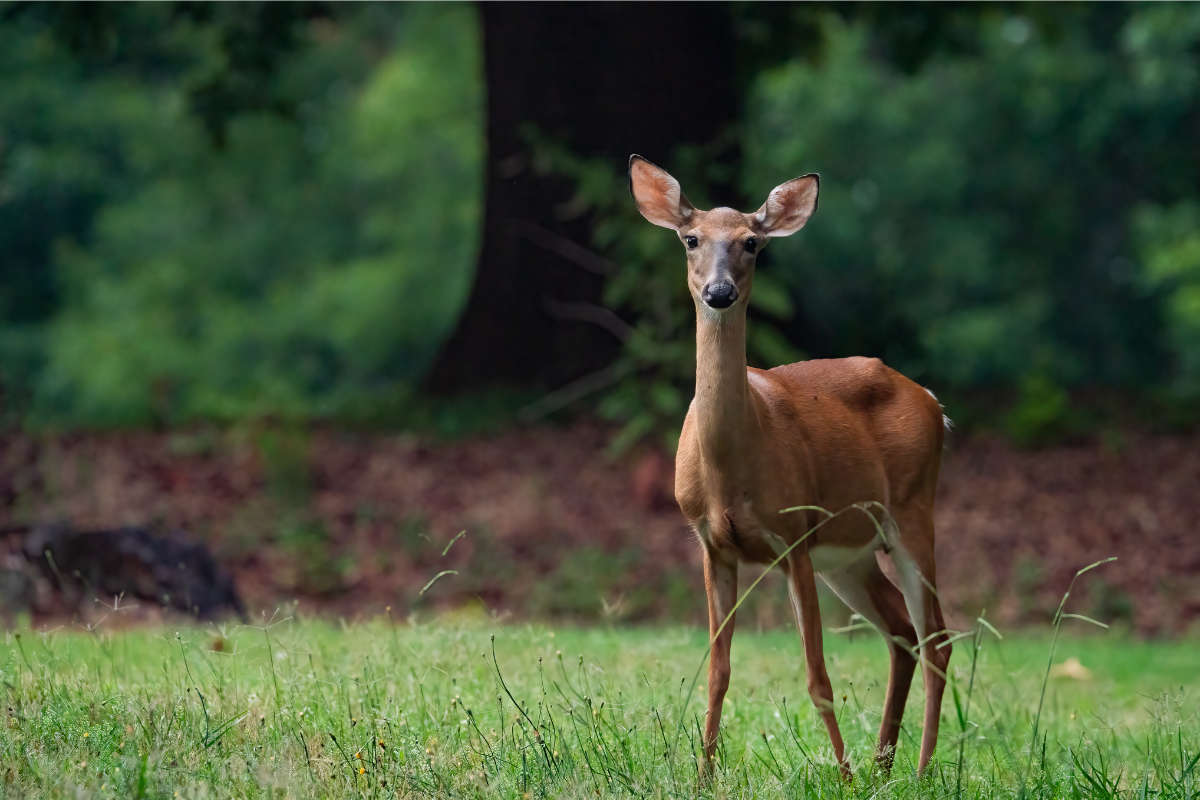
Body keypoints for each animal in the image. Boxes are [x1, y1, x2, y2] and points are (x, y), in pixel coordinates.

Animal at [628, 155, 955, 782]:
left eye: (752, 243)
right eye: (690, 238)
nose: (720, 291)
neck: (731, 469)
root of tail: (931, 400)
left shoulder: (795, 534)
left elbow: (818, 677)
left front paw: (843, 778)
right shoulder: (712, 544)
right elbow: (717, 671)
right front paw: (704, 776)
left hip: (912, 511)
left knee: (937, 638)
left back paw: (920, 770)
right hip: (850, 556)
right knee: (903, 633)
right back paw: (884, 766)